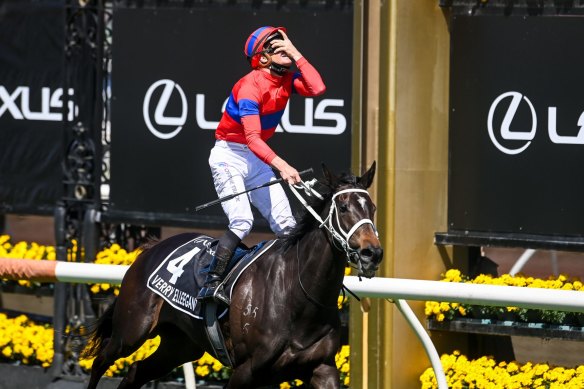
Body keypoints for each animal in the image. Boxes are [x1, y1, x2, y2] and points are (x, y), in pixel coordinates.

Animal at [82, 162, 384, 386]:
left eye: (372, 208)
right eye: (343, 207)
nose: (372, 253)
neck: (299, 295)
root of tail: (151, 248)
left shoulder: (322, 368)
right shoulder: (246, 370)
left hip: (180, 345)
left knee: (135, 372)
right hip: (131, 330)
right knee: (100, 361)